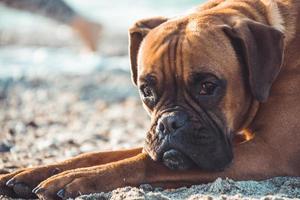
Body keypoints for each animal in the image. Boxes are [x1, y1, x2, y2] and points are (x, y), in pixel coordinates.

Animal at [0, 0, 300, 199]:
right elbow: (100, 154)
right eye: (147, 91)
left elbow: (141, 163)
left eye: (208, 86)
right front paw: (33, 172)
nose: (169, 123)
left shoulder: (267, 152)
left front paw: (79, 177)